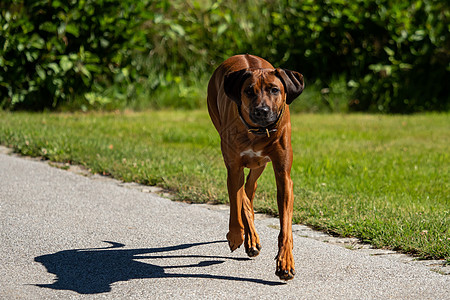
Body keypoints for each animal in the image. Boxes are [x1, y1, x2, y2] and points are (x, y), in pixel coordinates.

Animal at [207, 54, 306, 282]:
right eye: (249, 91)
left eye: (274, 90)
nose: (262, 111)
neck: (259, 131)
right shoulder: (234, 168)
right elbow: (236, 205)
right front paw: (236, 235)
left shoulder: (283, 176)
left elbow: (285, 226)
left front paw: (285, 262)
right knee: (244, 195)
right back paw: (248, 237)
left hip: (260, 165)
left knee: (250, 188)